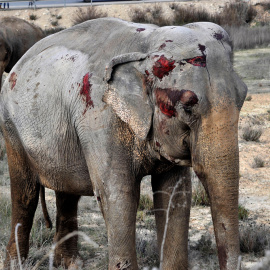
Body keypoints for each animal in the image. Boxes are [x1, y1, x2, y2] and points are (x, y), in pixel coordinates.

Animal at [0, 17, 248, 268]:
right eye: (187, 106)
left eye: (243, 96)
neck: (145, 45)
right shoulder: (100, 119)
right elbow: (119, 196)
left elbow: (175, 195)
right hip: (11, 127)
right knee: (25, 193)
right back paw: (16, 264)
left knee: (67, 191)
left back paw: (69, 263)